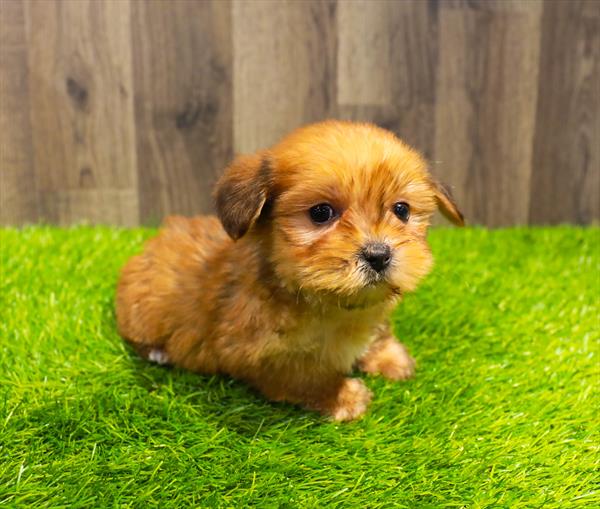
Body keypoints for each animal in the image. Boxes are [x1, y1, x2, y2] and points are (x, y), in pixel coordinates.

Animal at [117, 120, 464, 420]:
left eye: (402, 210)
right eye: (321, 213)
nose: (378, 255)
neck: (326, 302)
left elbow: (378, 331)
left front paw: (390, 357)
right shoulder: (256, 354)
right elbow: (303, 374)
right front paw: (343, 396)